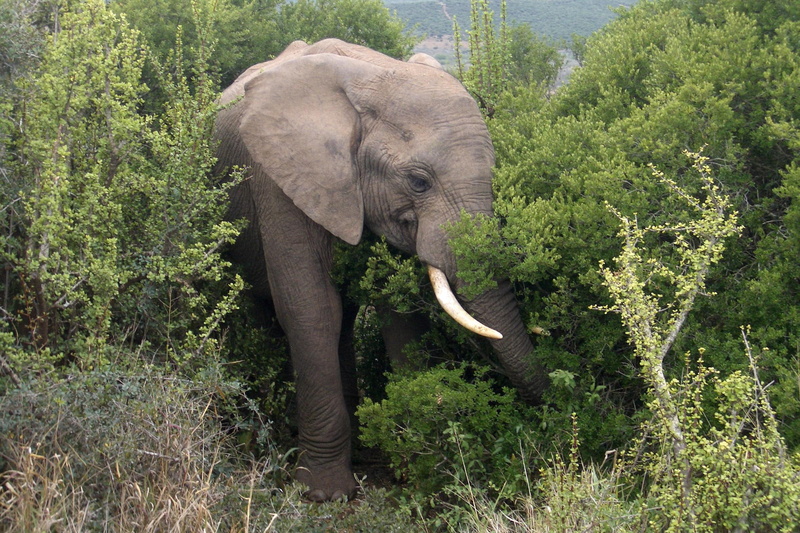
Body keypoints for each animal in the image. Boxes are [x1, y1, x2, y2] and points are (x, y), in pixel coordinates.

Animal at [214, 39, 548, 501]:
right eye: (419, 182)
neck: (370, 78)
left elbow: (400, 315)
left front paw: (421, 469)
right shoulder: (277, 179)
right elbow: (311, 309)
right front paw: (323, 494)